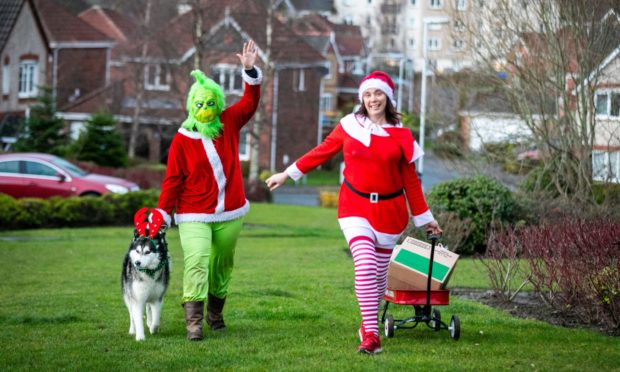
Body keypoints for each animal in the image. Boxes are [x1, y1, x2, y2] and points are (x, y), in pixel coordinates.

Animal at [121, 208, 170, 342]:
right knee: (131, 314)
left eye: (147, 252)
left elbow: (156, 319)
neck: (149, 274)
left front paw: (153, 328)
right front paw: (140, 337)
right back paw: (132, 330)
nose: (137, 263)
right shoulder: (136, 298)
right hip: (128, 294)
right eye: (138, 251)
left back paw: (149, 322)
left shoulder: (158, 297)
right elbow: (137, 318)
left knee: (148, 308)